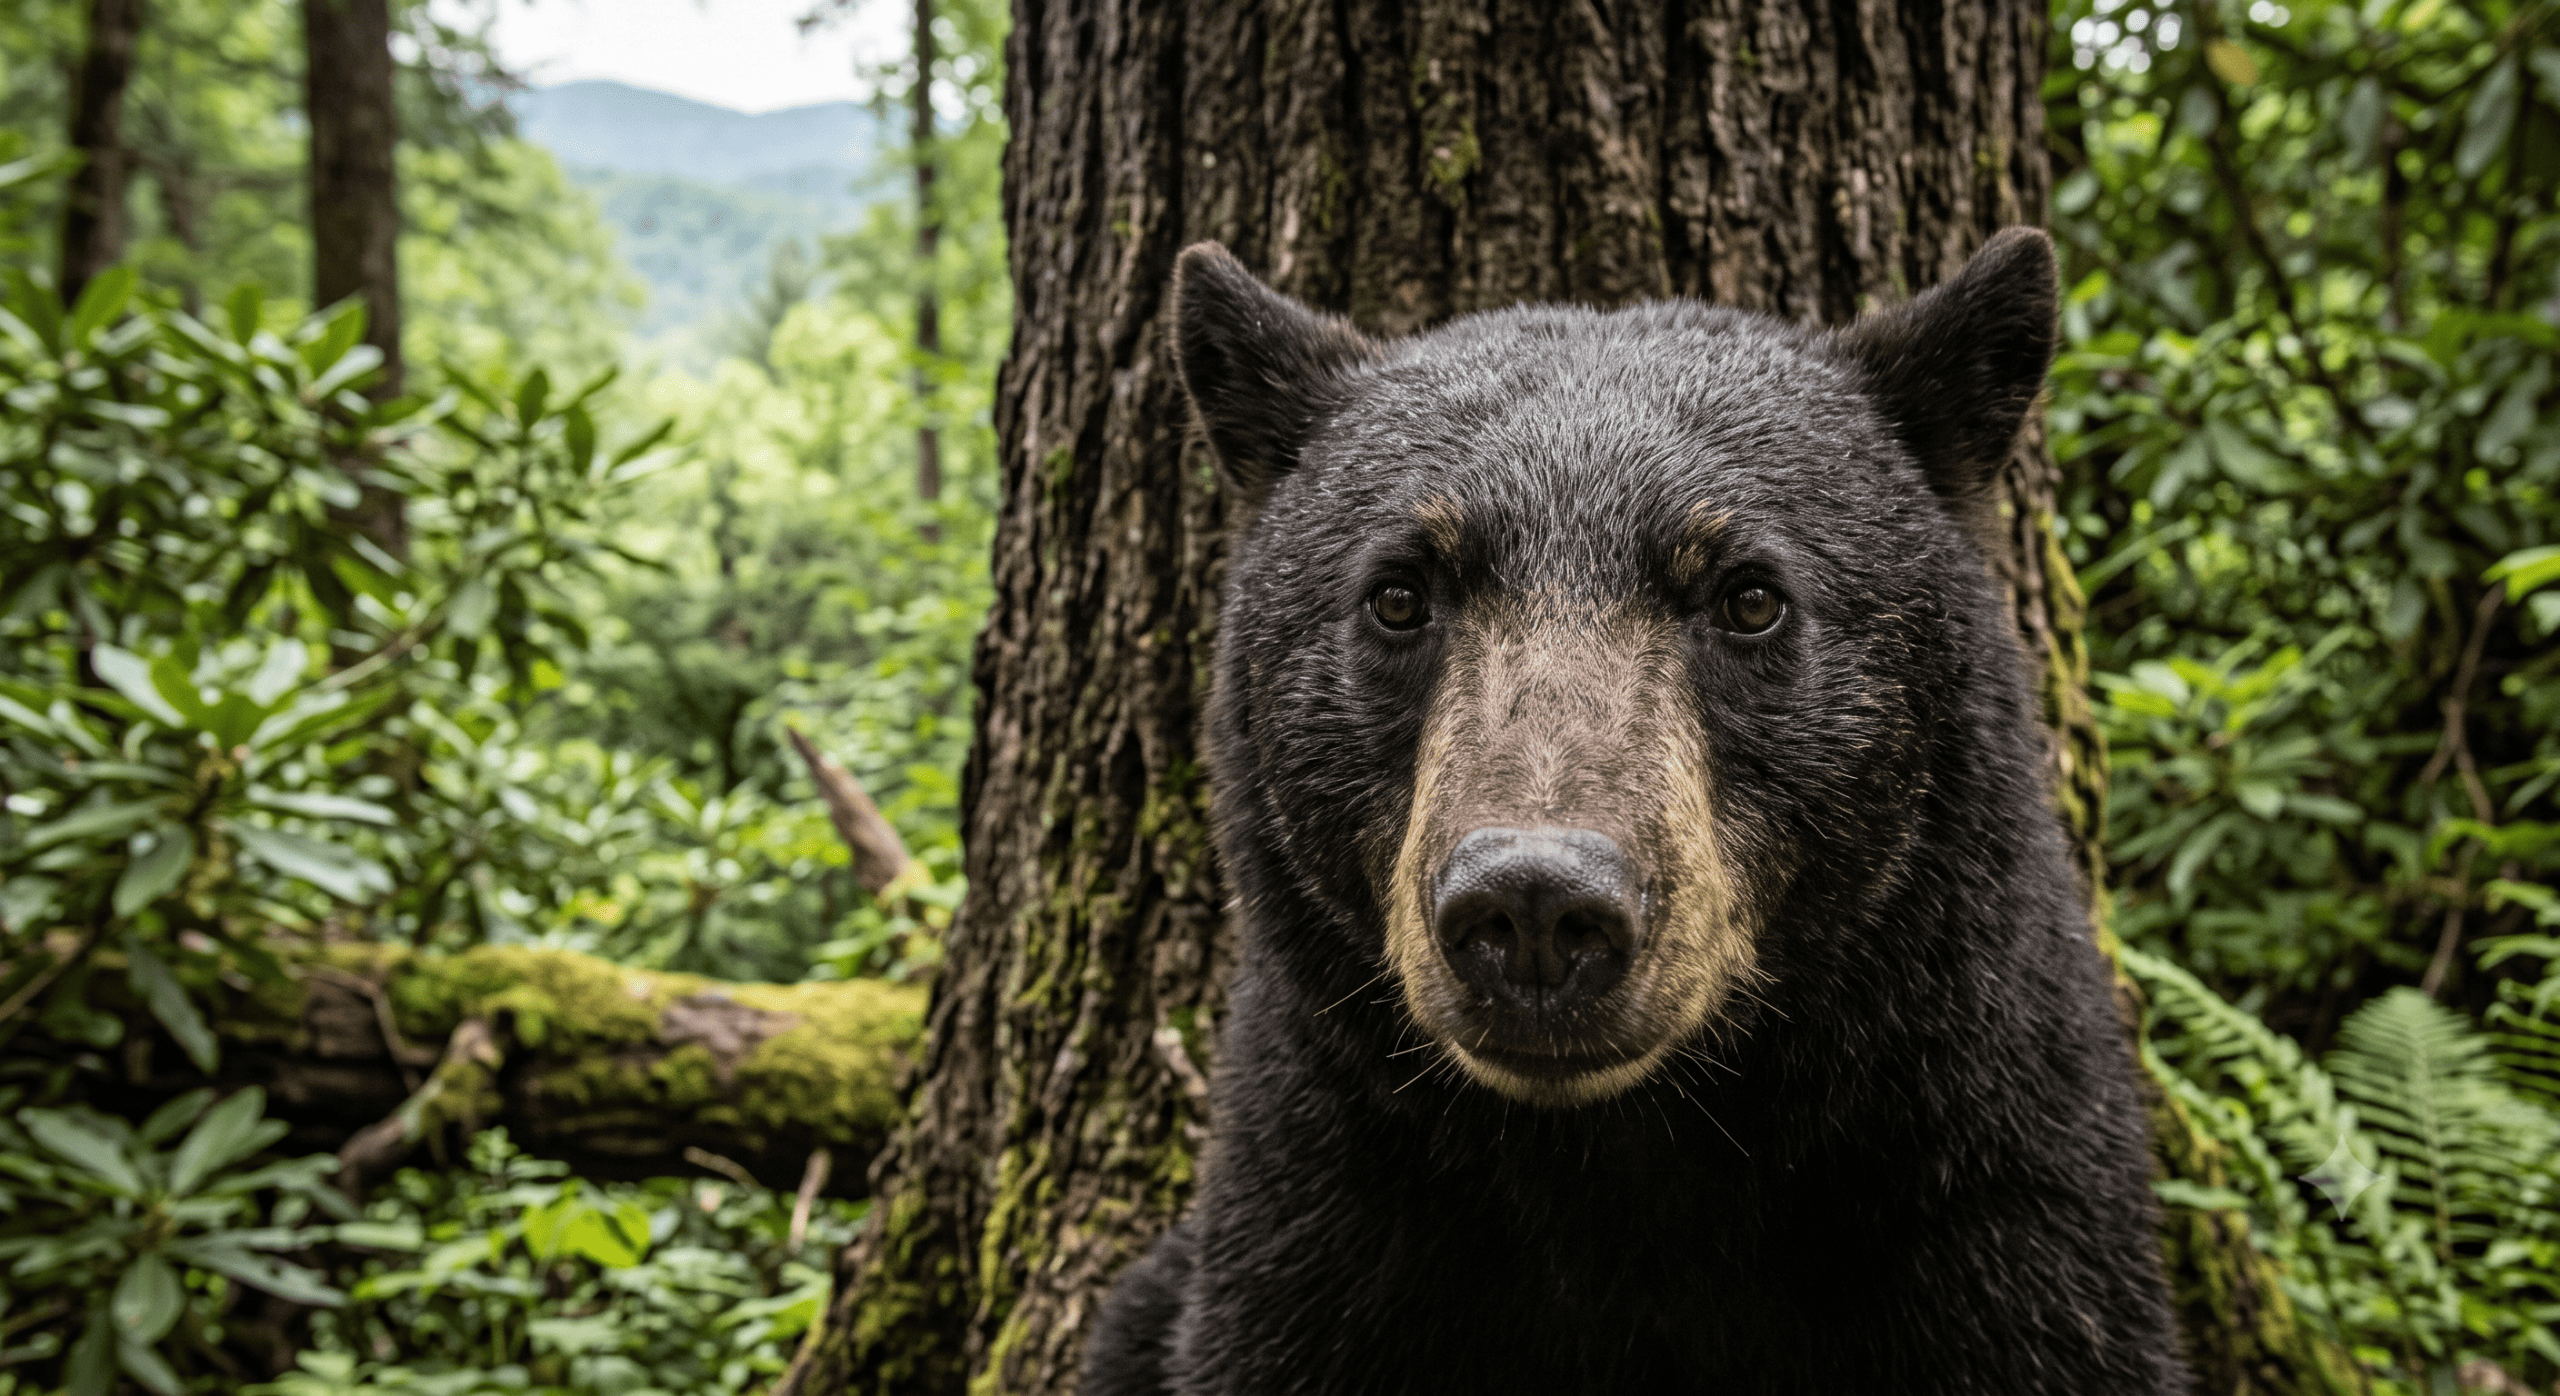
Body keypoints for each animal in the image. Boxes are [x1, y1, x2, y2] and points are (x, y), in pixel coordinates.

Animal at [1082, 228, 2191, 1396]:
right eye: (1397, 594)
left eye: (1750, 596)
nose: (1534, 903)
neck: (1622, 1161)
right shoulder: (1319, 1226)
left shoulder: (1991, 1198)